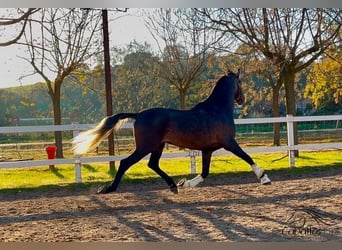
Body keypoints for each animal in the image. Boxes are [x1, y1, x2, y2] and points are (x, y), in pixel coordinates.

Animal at [73, 69, 272, 194]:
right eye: (240, 82)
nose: (242, 99)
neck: (217, 109)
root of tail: (138, 114)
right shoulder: (229, 142)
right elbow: (247, 157)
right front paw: (264, 178)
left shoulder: (207, 149)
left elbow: (205, 172)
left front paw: (186, 183)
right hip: (146, 146)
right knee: (125, 163)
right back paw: (109, 189)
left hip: (158, 146)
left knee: (152, 164)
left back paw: (174, 186)